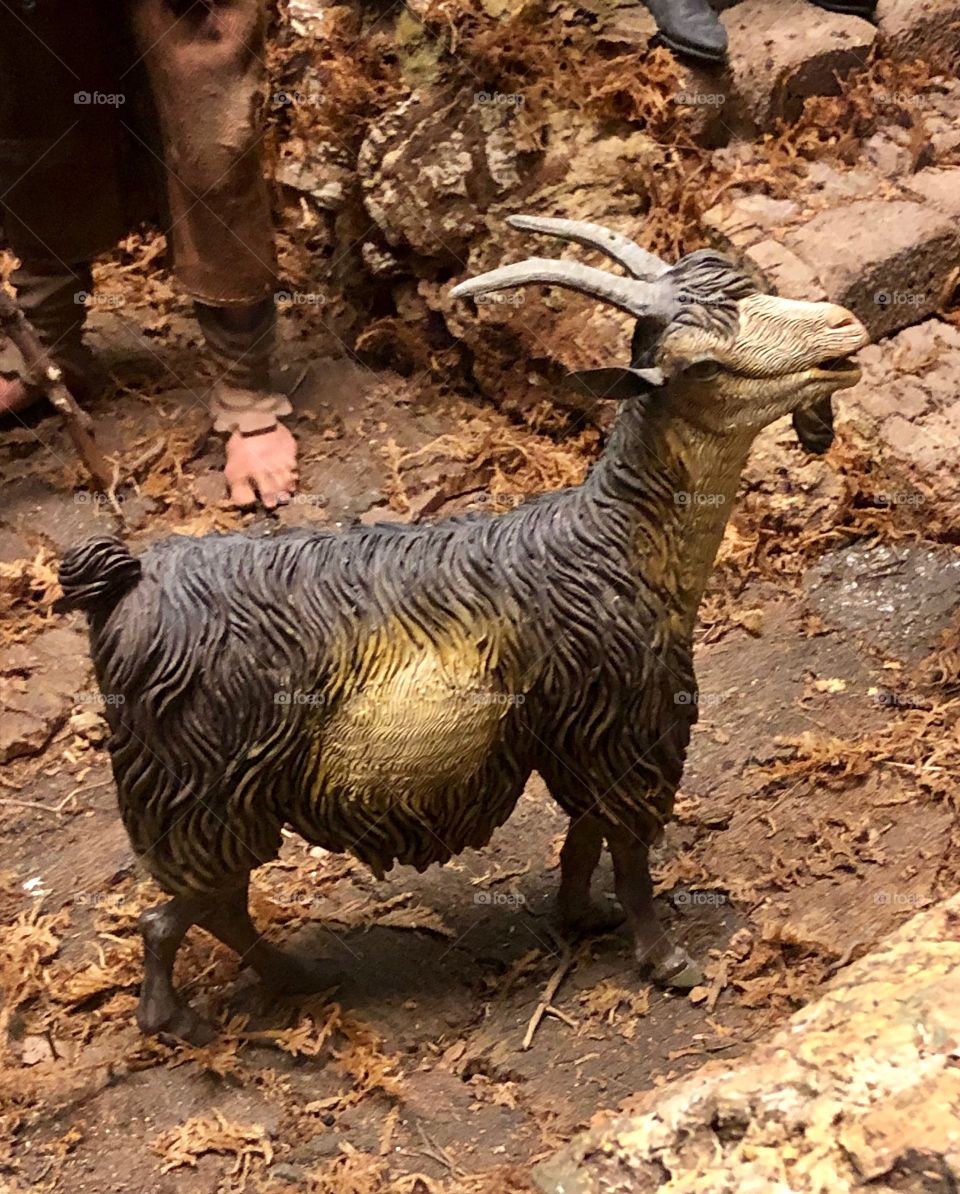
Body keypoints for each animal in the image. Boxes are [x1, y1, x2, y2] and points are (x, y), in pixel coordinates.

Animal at [56, 216, 868, 1043]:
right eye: (702, 363)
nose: (844, 326)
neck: (614, 541)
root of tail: (125, 587)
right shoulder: (624, 725)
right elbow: (631, 849)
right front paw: (666, 959)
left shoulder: (573, 731)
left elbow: (585, 836)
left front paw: (582, 915)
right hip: (203, 793)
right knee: (178, 913)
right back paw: (182, 1017)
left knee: (212, 906)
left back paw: (293, 978)